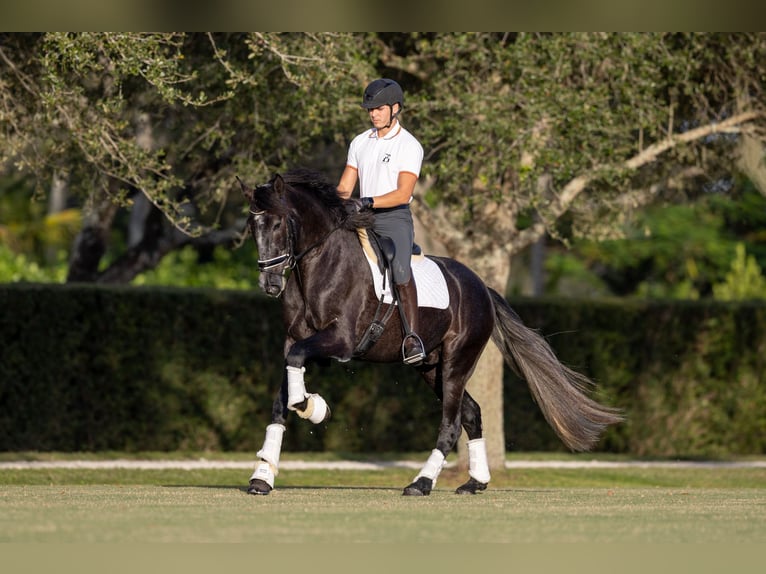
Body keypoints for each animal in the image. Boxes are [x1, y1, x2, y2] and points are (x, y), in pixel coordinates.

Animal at [240, 169, 624, 498]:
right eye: (252, 226)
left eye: (278, 223)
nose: (269, 285)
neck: (318, 265)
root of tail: (482, 288)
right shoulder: (296, 341)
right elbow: (282, 397)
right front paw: (262, 476)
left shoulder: (340, 340)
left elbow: (295, 382)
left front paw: (313, 407)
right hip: (431, 368)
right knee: (471, 414)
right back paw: (475, 482)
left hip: (456, 362)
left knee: (452, 423)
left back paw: (421, 483)